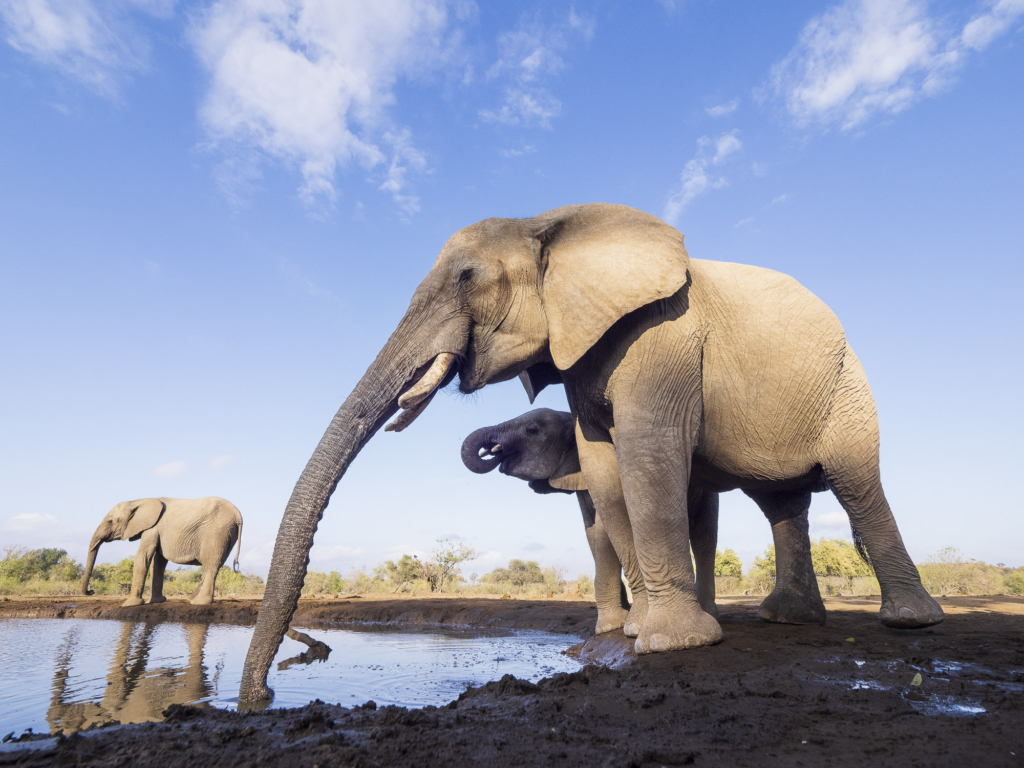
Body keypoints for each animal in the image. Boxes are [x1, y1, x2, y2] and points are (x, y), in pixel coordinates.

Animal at [81, 499, 243, 606]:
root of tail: (238, 515)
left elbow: (142, 557)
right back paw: (190, 599)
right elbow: (157, 562)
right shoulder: (156, 530)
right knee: (216, 565)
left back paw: (198, 602)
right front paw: (156, 601)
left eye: (110, 521)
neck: (138, 501)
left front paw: (129, 604)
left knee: (211, 565)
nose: (91, 591)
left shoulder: (151, 528)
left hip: (216, 534)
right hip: (228, 535)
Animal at [235, 202, 937, 704]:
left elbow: (648, 453)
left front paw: (671, 645)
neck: (549, 222)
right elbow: (605, 469)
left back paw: (910, 622)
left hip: (847, 385)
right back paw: (788, 621)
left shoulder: (661, 334)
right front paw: (633, 633)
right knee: (782, 501)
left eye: (467, 278)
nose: (263, 696)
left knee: (855, 481)